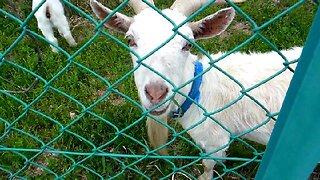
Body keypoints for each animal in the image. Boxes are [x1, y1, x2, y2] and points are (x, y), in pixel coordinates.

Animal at [90, 0, 302, 179]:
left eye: (187, 44)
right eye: (130, 40)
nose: (156, 94)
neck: (199, 89)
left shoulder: (216, 141)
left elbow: (208, 165)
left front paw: (203, 177)